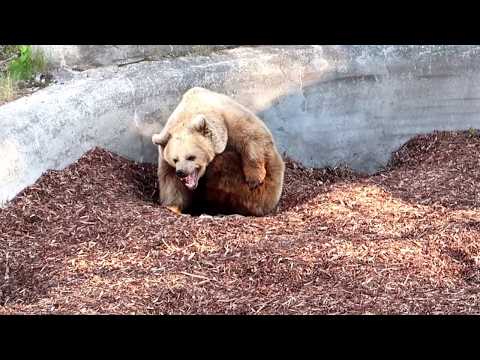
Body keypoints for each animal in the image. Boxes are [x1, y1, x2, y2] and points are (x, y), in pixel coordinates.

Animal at [151, 86, 284, 217]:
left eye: (191, 157)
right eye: (175, 159)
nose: (181, 172)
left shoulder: (231, 123)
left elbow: (253, 138)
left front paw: (254, 178)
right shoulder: (166, 157)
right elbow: (170, 181)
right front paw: (173, 207)